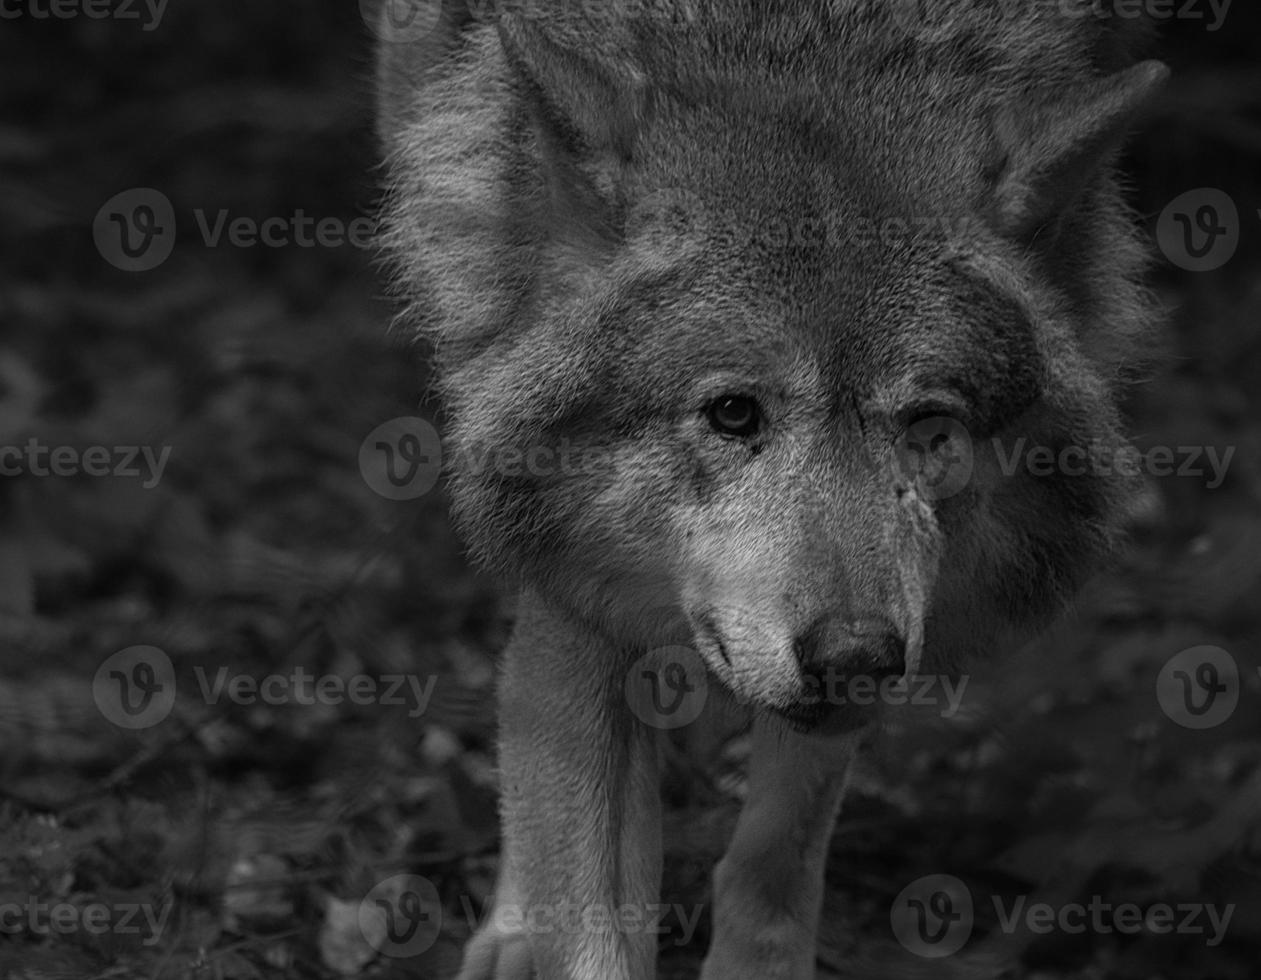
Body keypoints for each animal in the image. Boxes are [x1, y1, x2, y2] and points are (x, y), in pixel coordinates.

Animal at [370, 3, 1160, 973]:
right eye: (734, 412)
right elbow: (585, 896)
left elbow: (772, 864)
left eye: (929, 427)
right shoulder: (573, 589)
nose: (855, 655)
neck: (799, 42)